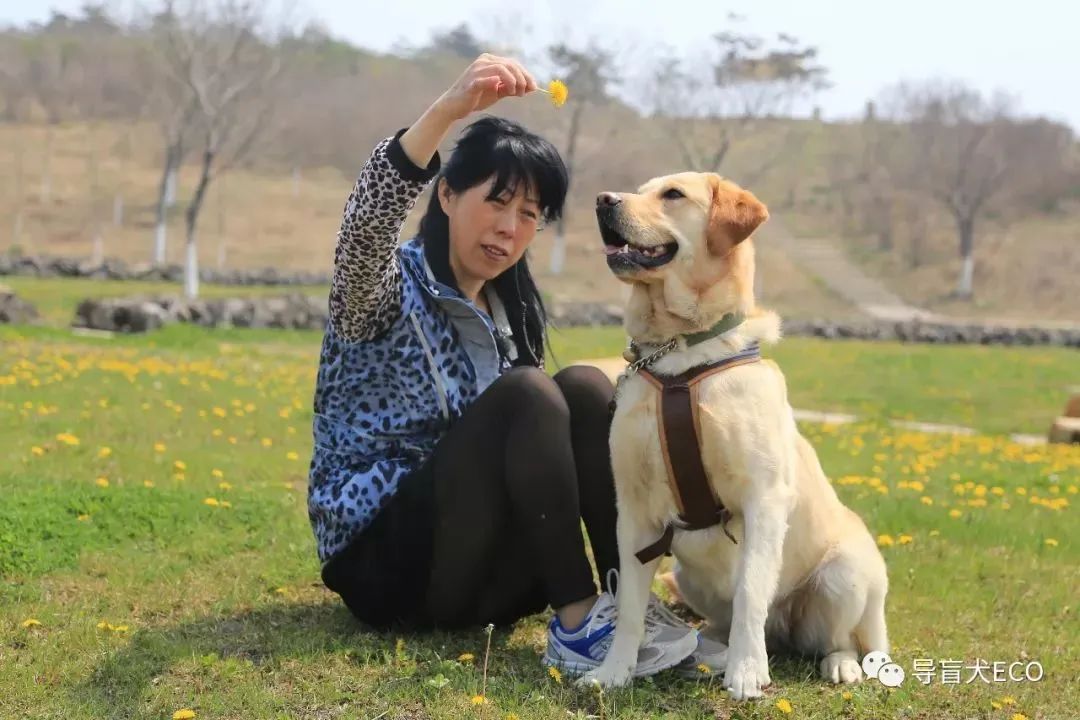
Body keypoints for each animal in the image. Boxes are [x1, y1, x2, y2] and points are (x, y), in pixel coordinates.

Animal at [582, 173, 890, 700]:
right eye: (640, 189)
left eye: (672, 195)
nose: (603, 200)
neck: (680, 353)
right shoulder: (635, 511)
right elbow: (629, 607)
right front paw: (614, 671)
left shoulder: (763, 499)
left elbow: (751, 591)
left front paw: (747, 673)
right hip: (687, 575)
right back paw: (712, 645)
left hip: (846, 575)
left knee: (843, 639)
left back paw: (838, 664)